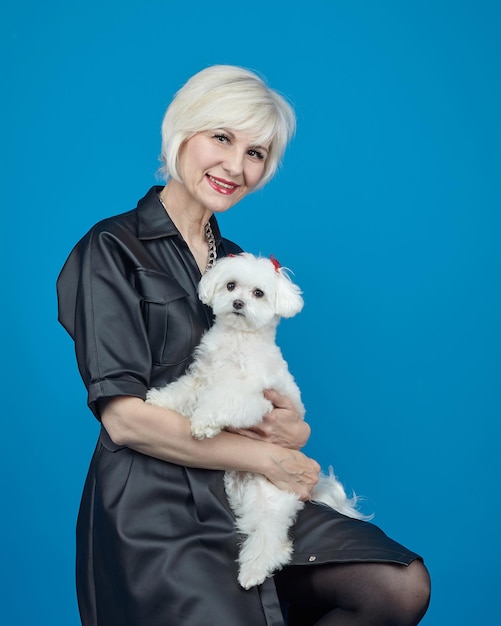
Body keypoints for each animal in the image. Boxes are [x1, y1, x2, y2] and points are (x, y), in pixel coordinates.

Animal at [145, 252, 368, 584]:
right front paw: (160, 400)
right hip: (248, 496)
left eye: (258, 293)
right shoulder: (202, 378)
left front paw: (203, 423)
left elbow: (224, 401)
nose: (238, 303)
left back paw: (253, 571)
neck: (238, 339)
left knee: (272, 539)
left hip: (270, 497)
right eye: (231, 285)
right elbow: (183, 391)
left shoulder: (254, 398)